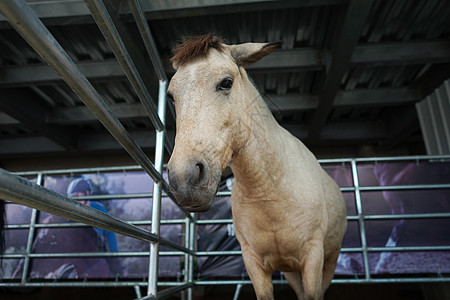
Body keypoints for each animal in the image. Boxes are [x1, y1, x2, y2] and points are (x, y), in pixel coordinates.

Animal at [167, 34, 346, 298]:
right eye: (171, 96)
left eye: (226, 83)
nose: (184, 177)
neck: (270, 191)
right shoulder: (254, 264)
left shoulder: (313, 258)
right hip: (292, 271)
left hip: (329, 262)